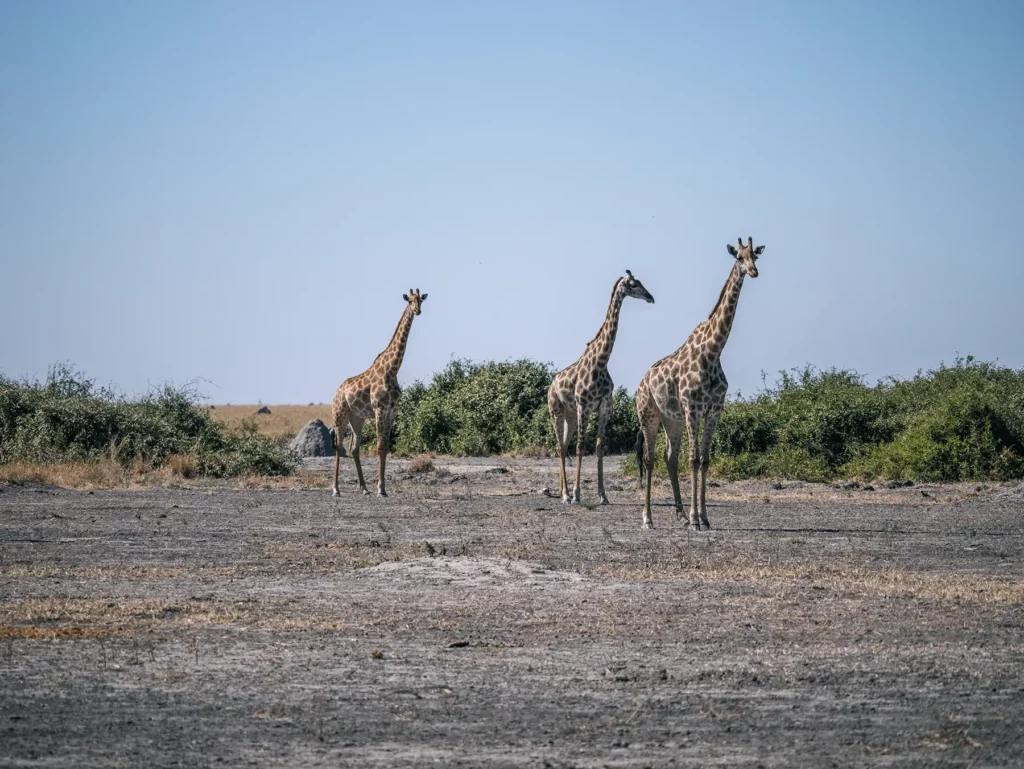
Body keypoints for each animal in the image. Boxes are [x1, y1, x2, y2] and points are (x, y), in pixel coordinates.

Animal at [331, 289, 427, 497]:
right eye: (409, 301)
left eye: (421, 300)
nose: (418, 311)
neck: (392, 369)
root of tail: (336, 392)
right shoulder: (379, 409)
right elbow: (380, 446)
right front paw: (380, 488)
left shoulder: (392, 411)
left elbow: (385, 447)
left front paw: (381, 488)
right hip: (340, 414)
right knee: (339, 446)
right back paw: (336, 489)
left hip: (357, 418)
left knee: (354, 448)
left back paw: (364, 488)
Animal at [549, 271, 655, 505]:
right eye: (633, 284)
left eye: (641, 282)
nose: (650, 297)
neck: (601, 361)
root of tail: (551, 384)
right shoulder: (584, 406)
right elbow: (581, 446)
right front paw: (577, 495)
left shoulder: (605, 406)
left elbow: (599, 448)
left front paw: (603, 495)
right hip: (556, 410)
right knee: (560, 445)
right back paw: (565, 494)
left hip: (570, 414)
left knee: (564, 445)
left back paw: (562, 491)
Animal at [635, 237, 765, 530]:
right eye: (739, 257)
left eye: (756, 256)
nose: (753, 272)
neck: (713, 352)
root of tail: (640, 383)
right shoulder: (693, 409)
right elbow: (693, 460)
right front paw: (696, 520)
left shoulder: (714, 411)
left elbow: (704, 461)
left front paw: (703, 518)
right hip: (648, 414)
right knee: (649, 459)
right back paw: (648, 518)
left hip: (672, 420)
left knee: (670, 458)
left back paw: (680, 515)